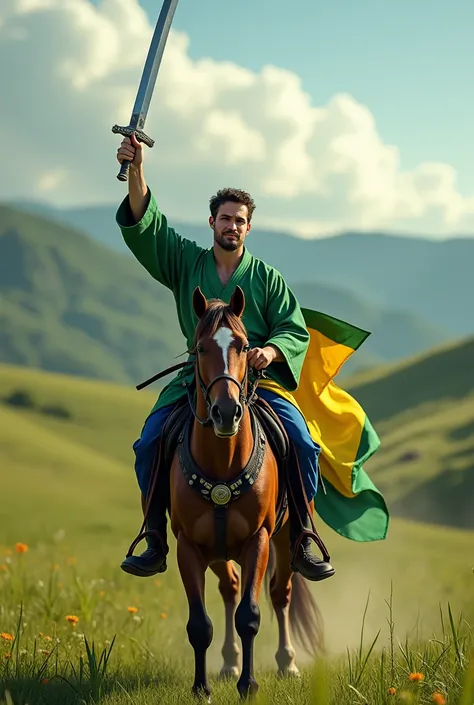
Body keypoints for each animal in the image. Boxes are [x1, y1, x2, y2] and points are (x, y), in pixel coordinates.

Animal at [168, 286, 326, 700]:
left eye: (243, 346)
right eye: (201, 348)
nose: (226, 412)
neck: (222, 463)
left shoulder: (259, 540)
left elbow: (250, 615)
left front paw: (249, 684)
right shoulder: (189, 545)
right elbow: (199, 624)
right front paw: (201, 687)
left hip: (286, 540)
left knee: (280, 593)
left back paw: (287, 663)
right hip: (219, 551)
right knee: (230, 588)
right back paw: (228, 662)